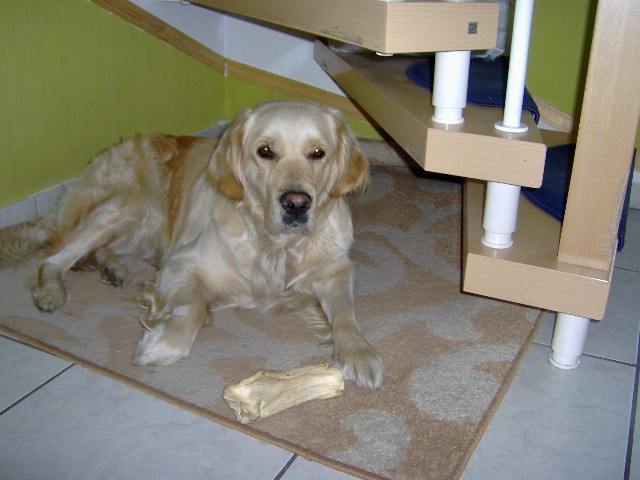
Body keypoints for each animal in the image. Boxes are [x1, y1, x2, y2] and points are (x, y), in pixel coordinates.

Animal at [0, 100, 383, 389]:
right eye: (265, 151)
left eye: (318, 153)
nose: (296, 204)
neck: (275, 247)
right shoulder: (180, 265)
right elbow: (195, 308)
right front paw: (158, 347)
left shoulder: (337, 269)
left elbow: (346, 313)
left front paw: (359, 353)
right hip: (135, 206)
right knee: (55, 255)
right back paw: (52, 289)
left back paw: (112, 267)